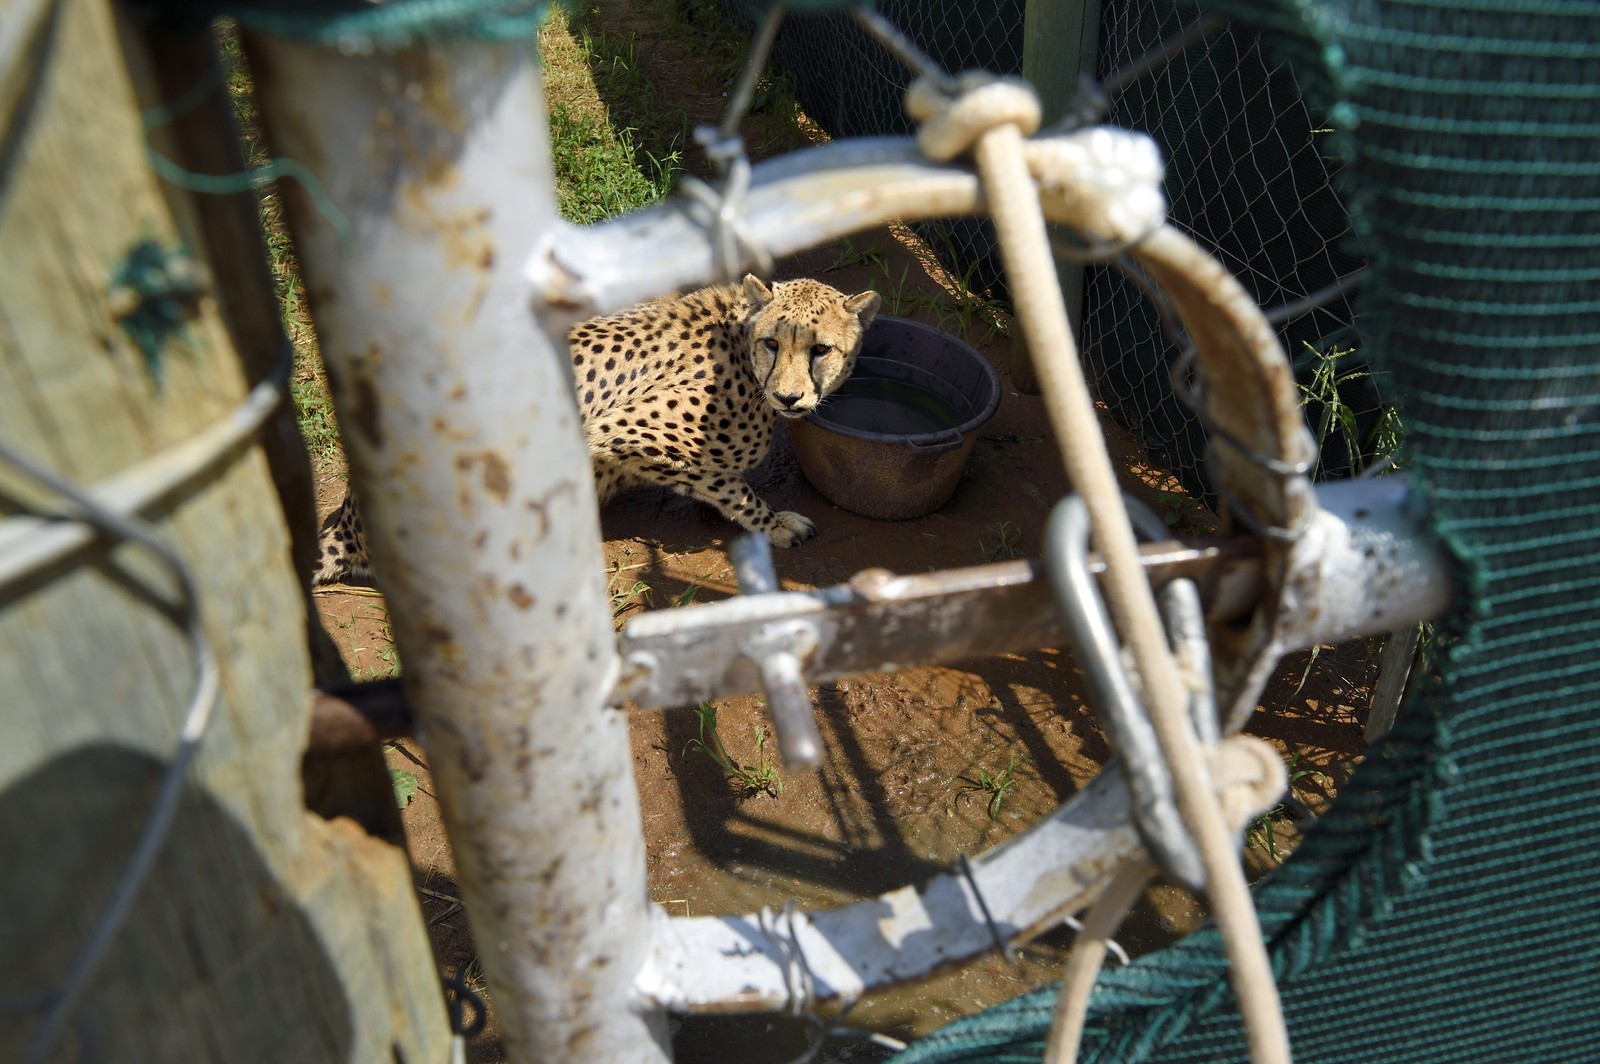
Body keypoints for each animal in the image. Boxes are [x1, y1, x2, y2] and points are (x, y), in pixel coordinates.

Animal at [312, 274, 881, 585]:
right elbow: (727, 483)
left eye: (820, 349)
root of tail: (350, 519)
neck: (742, 350)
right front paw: (773, 523)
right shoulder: (622, 431)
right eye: (772, 343)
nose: (789, 397)